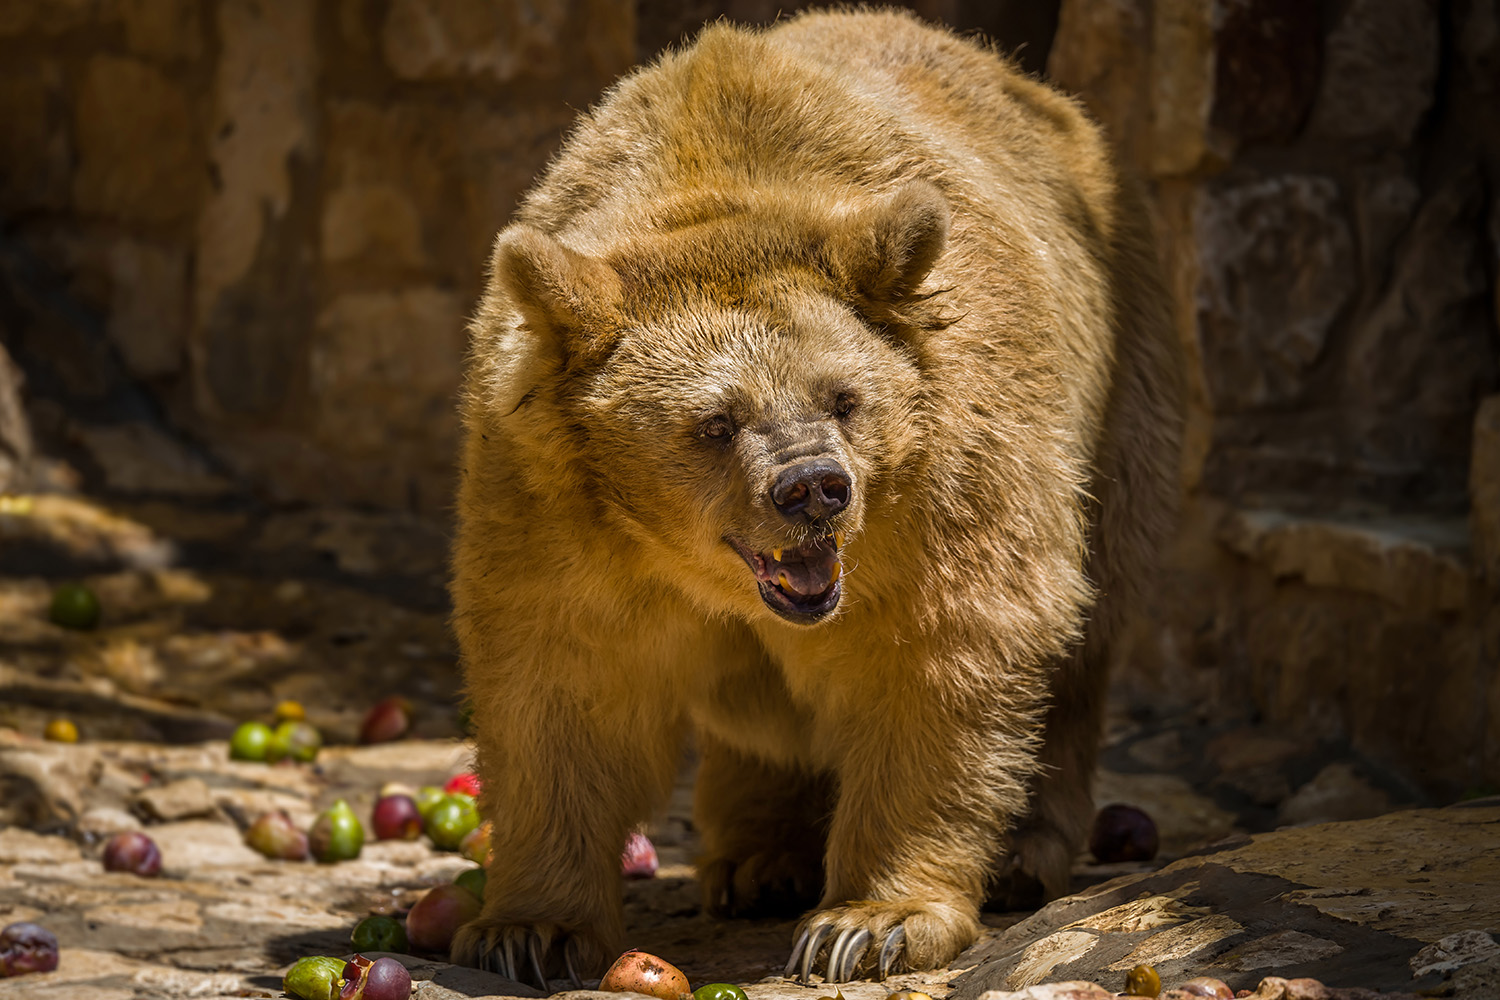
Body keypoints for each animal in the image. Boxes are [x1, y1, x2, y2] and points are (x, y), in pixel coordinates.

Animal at [450, 5, 1176, 995]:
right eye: (716, 422)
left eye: (845, 397)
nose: (813, 489)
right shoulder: (551, 507)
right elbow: (559, 685)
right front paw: (529, 928)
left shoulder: (945, 485)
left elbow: (939, 655)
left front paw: (870, 922)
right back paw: (761, 856)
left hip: (1112, 391)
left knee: (1082, 628)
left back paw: (1021, 848)